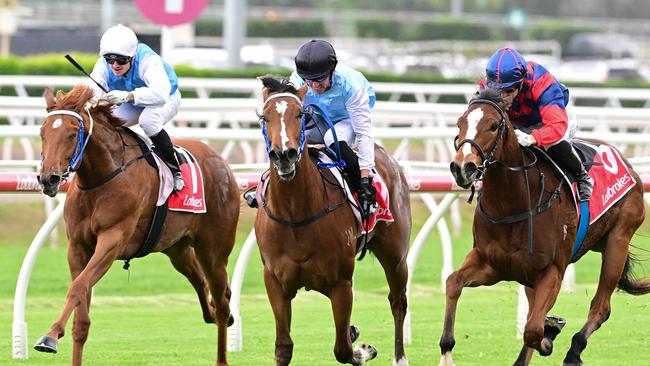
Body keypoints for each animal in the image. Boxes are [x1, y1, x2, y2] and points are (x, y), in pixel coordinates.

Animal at [34, 85, 240, 366]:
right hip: (178, 250)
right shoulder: (78, 247)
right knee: (203, 285)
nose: (48, 179)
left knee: (221, 299)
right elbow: (81, 315)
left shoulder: (112, 242)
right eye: (43, 132)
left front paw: (50, 336)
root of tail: (222, 162)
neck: (102, 178)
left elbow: (77, 287)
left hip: (213, 251)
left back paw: (221, 350)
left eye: (72, 133)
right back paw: (214, 313)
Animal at [254, 76, 410, 364]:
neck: (296, 216)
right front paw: (355, 336)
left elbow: (343, 350)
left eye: (300, 114)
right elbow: (284, 347)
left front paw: (362, 349)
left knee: (397, 301)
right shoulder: (275, 283)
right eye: (264, 117)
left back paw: (400, 357)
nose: (284, 156)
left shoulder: (341, 283)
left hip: (395, 256)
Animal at [442, 88, 648, 366]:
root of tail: (626, 162)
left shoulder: (551, 271)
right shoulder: (491, 264)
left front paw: (551, 333)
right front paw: (446, 347)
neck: (512, 203)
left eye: (494, 126)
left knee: (601, 306)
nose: (463, 168)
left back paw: (574, 350)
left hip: (618, 240)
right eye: (460, 124)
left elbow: (533, 329)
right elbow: (453, 282)